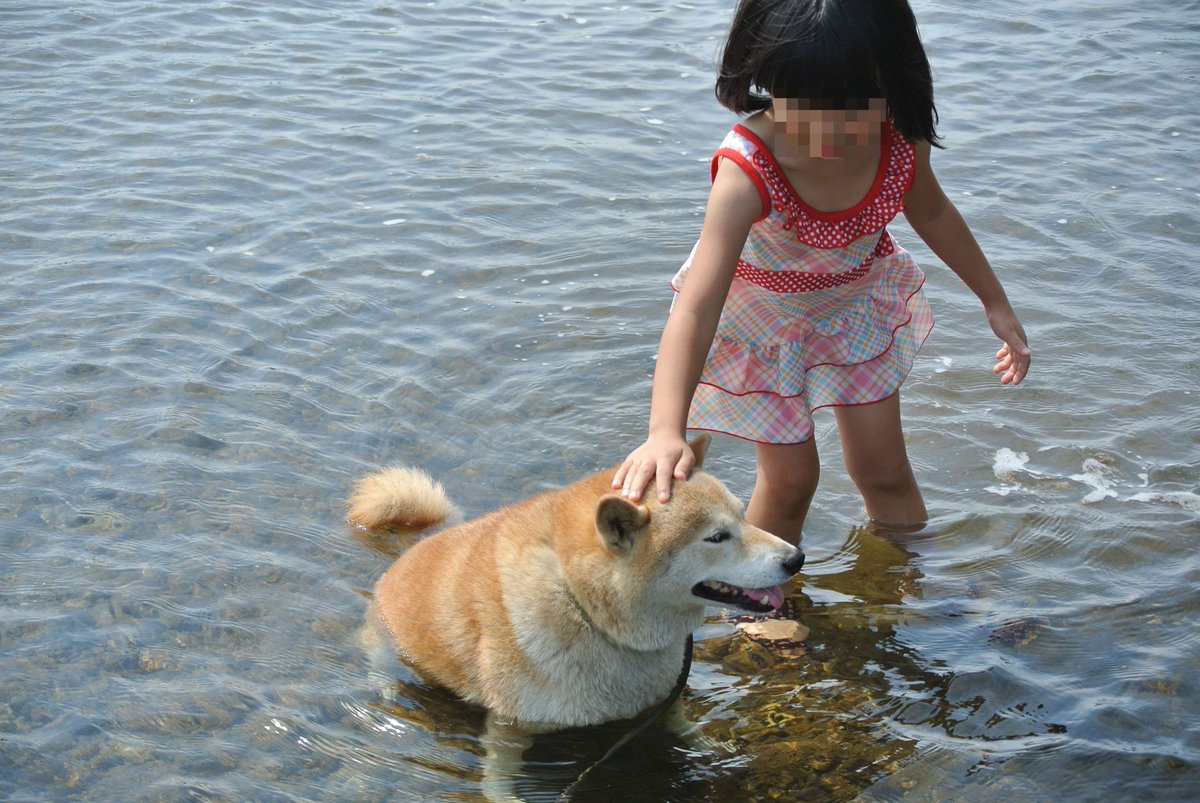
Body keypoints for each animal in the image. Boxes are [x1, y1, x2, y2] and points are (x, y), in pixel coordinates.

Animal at [348, 439, 806, 796]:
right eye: (716, 537)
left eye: (744, 516)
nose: (796, 558)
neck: (586, 610)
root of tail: (414, 547)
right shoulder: (510, 725)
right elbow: (498, 777)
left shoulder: (661, 699)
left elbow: (686, 726)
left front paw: (714, 747)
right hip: (385, 643)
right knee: (379, 667)